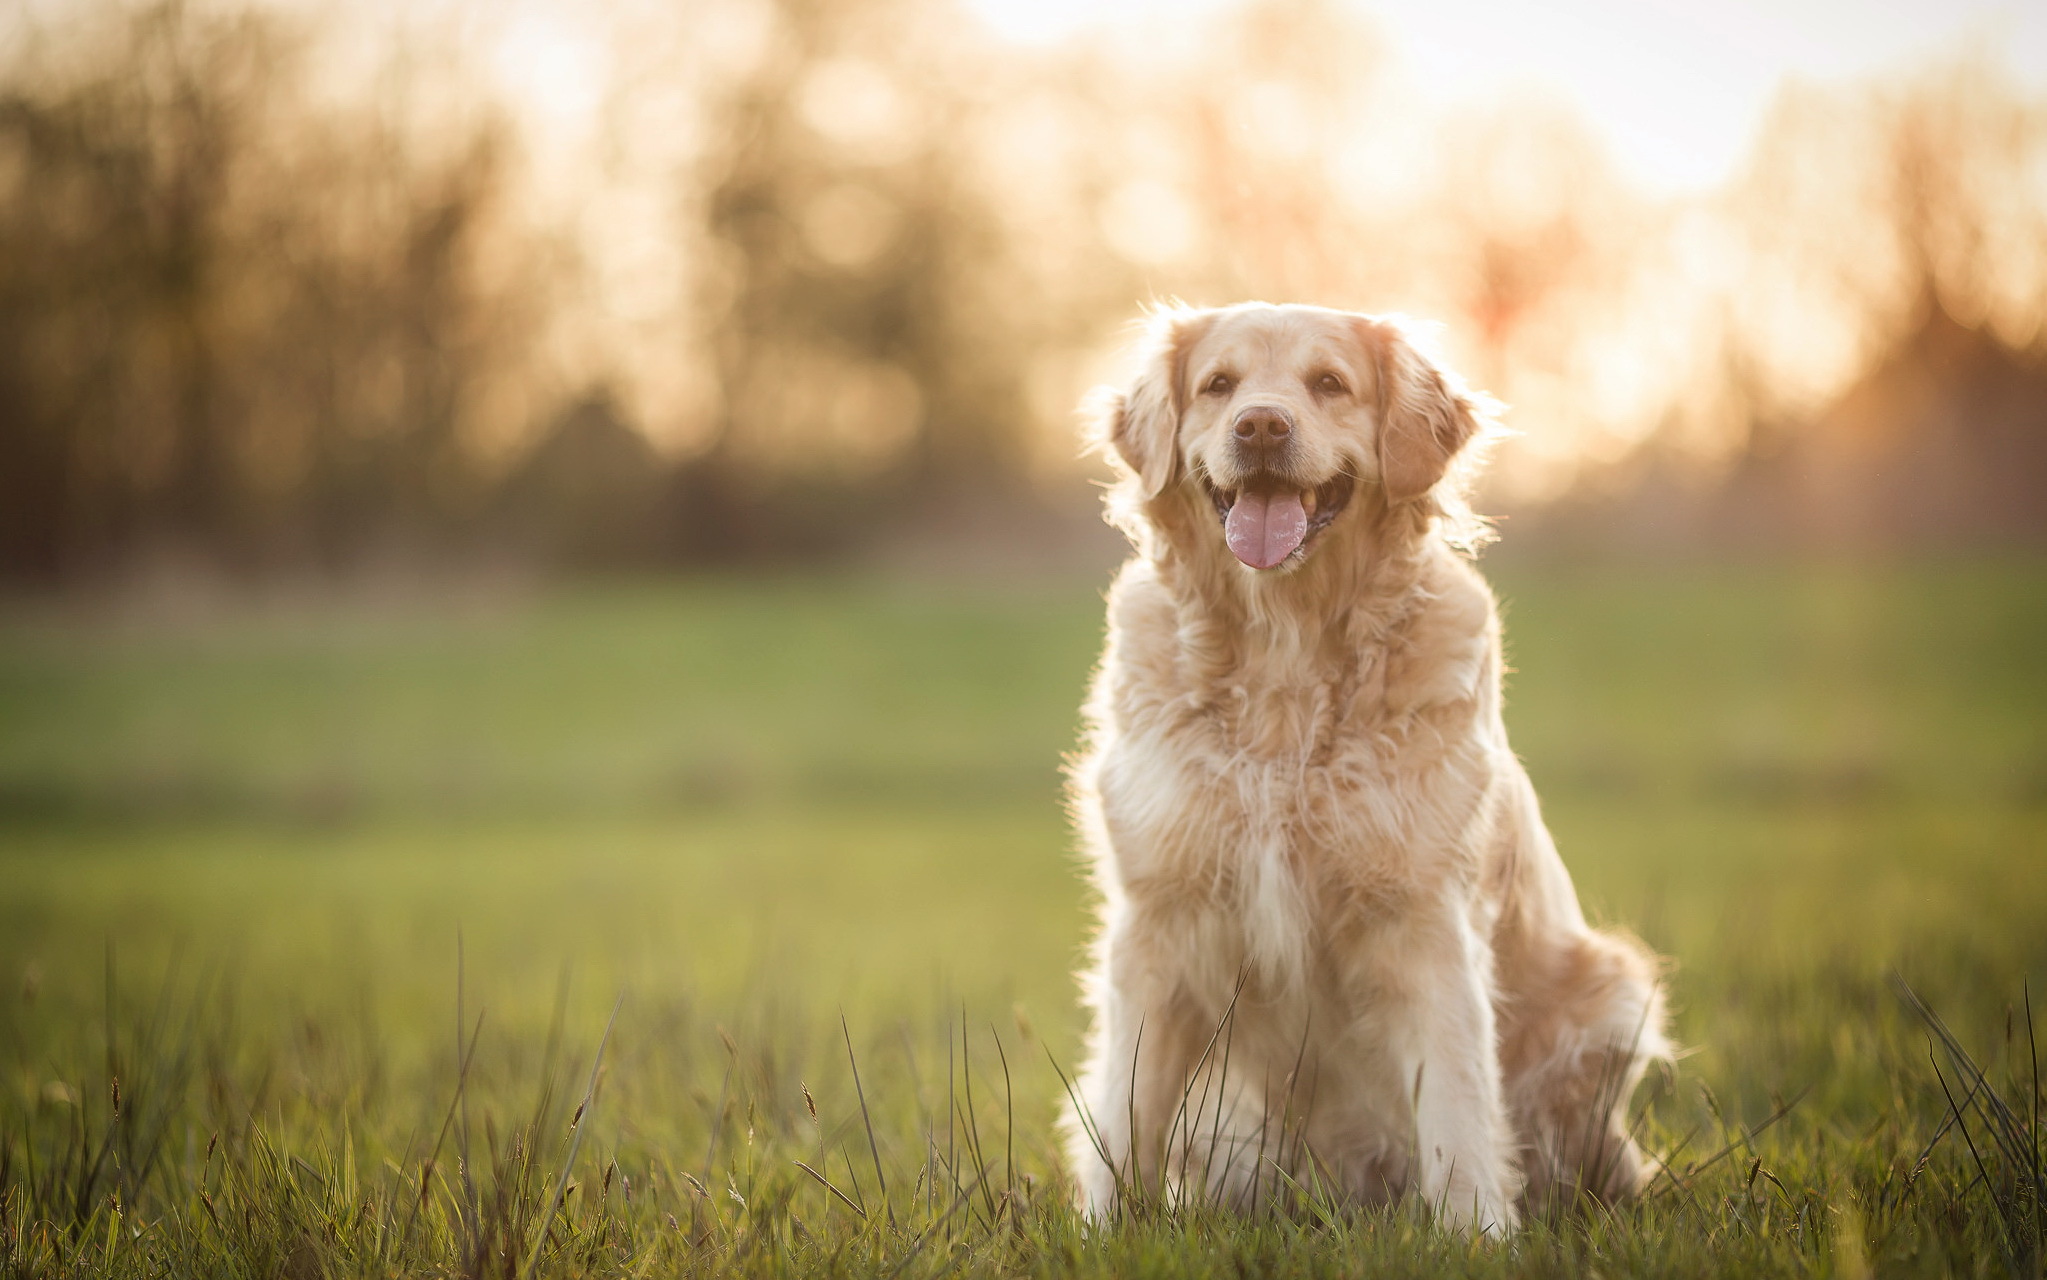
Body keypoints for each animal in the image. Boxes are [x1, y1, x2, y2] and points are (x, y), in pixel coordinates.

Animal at [1064, 299, 1670, 1228]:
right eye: (1218, 385)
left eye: (1328, 384)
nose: (1261, 426)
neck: (1283, 657)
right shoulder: (1159, 918)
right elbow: (1124, 1114)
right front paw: (1103, 1236)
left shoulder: (1422, 915)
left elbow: (1455, 1107)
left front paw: (1475, 1236)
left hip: (1608, 994)